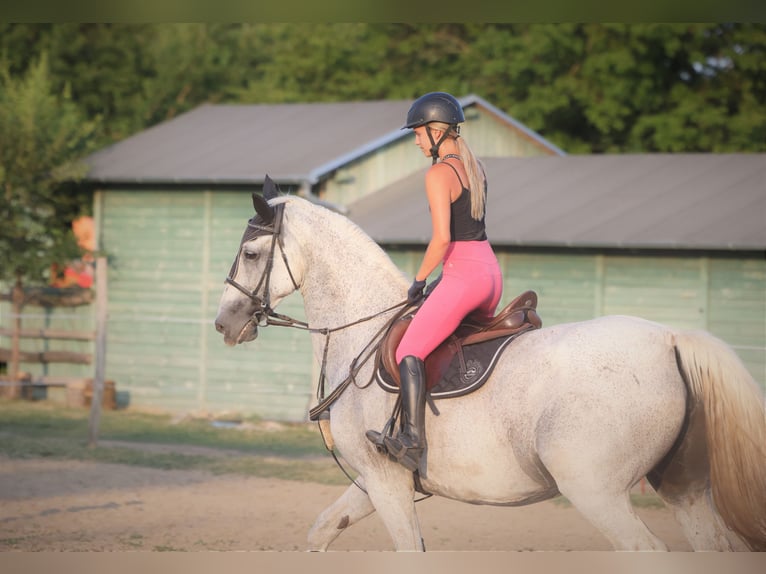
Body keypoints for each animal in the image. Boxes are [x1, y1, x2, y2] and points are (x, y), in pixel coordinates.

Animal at [216, 183, 766, 552]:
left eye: (251, 253)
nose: (225, 322)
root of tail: (670, 339)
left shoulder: (386, 482)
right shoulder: (373, 483)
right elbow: (322, 530)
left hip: (596, 491)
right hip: (683, 490)